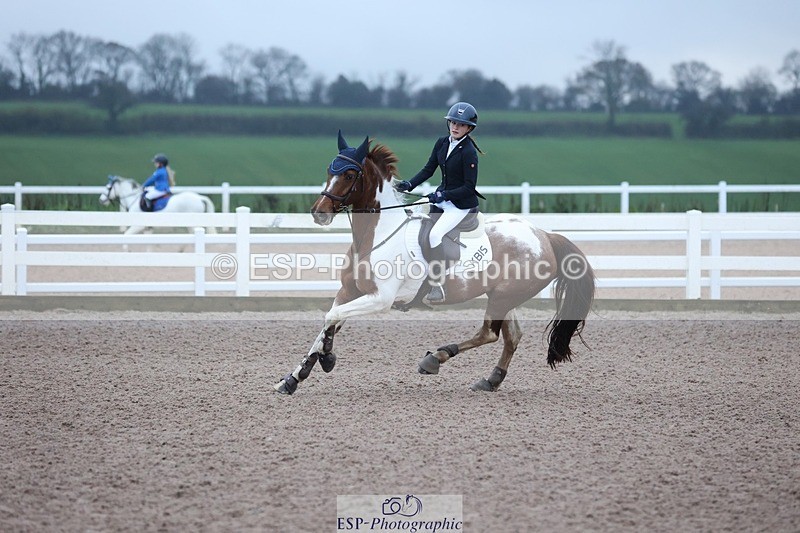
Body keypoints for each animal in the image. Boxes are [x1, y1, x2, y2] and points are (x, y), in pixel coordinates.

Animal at [273, 132, 596, 395]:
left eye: (351, 174)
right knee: (511, 337)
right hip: (504, 295)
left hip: (503, 296)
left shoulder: (380, 298)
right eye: (330, 170)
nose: (319, 213)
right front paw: (293, 378)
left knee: (489, 334)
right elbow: (329, 320)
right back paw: (490, 380)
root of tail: (545, 235)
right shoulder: (349, 292)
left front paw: (327, 357)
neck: (375, 234)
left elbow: (332, 318)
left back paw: (435, 358)